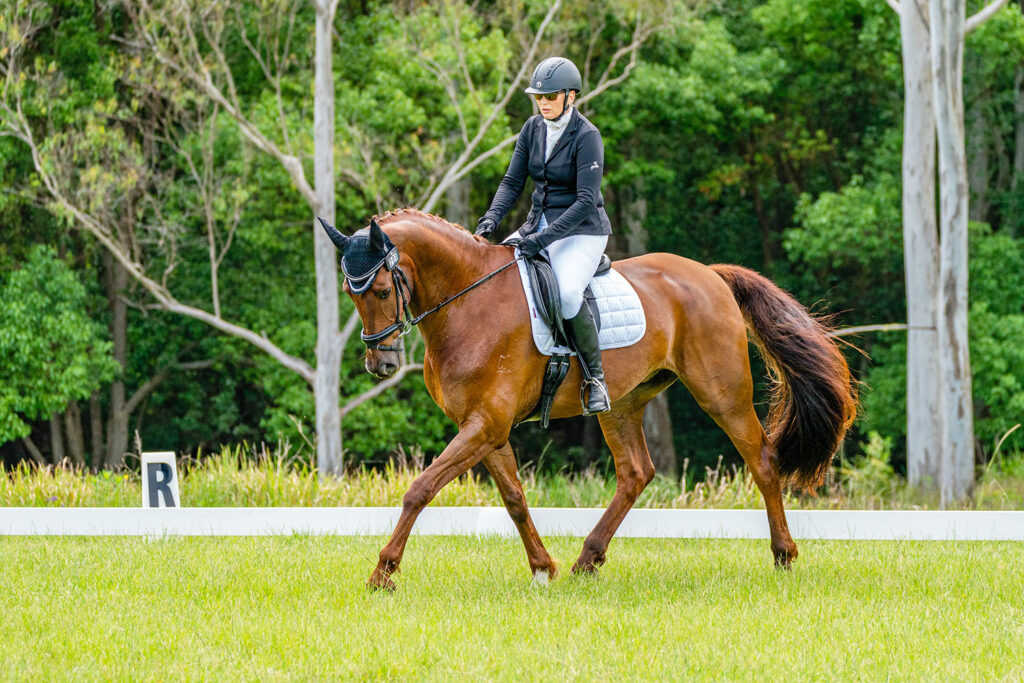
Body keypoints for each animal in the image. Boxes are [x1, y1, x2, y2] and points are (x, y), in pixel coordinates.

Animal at [321, 209, 856, 593]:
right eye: (350, 293)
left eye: (383, 290)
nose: (381, 364)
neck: (467, 303)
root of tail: (710, 274)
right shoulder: (484, 428)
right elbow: (514, 498)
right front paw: (543, 568)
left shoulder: (486, 424)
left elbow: (421, 489)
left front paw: (383, 572)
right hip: (622, 404)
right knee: (636, 472)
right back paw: (587, 560)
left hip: (722, 393)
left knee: (761, 459)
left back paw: (783, 555)